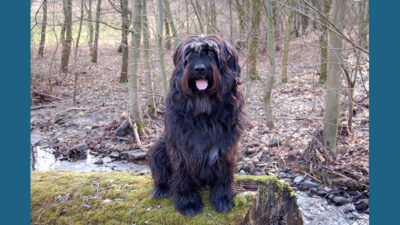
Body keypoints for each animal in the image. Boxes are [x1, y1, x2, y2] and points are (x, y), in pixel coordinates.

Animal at [148, 33, 245, 216]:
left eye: (212, 53)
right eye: (190, 54)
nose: (199, 68)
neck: (203, 106)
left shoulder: (226, 147)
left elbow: (224, 173)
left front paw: (222, 199)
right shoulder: (181, 147)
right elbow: (182, 175)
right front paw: (188, 203)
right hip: (158, 148)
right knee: (161, 174)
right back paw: (162, 189)